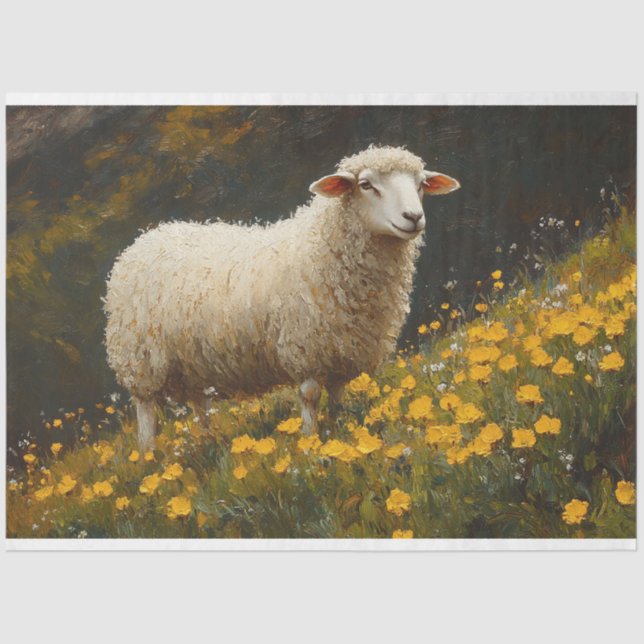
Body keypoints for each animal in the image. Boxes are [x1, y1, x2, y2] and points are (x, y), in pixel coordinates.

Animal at [104, 145, 460, 449]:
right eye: (365, 185)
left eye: (421, 184)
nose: (413, 217)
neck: (323, 245)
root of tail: (145, 238)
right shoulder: (306, 346)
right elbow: (310, 396)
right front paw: (310, 439)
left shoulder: (342, 349)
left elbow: (338, 394)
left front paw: (339, 428)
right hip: (140, 358)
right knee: (146, 410)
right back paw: (149, 455)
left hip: (193, 361)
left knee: (200, 404)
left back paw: (208, 440)